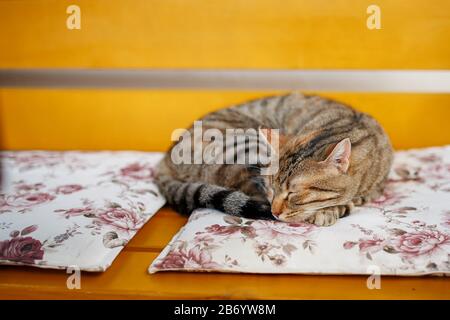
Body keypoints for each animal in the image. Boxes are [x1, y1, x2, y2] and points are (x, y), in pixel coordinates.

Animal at [156, 92, 394, 226]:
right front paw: (329, 211)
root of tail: (166, 158)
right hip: (245, 146)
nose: (275, 212)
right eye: (272, 187)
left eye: (294, 193)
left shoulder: (374, 189)